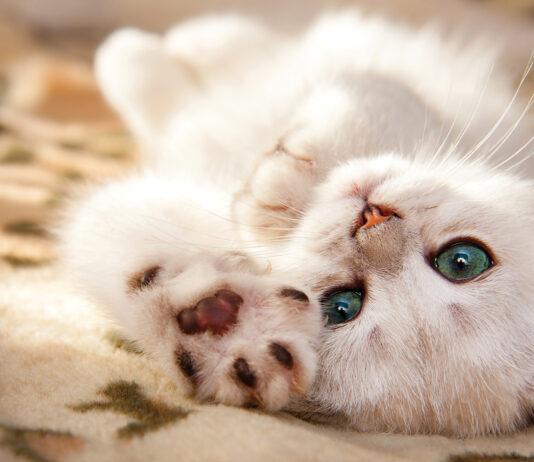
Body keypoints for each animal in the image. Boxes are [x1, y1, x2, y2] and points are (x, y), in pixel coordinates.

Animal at [60, 11, 532, 436]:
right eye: (464, 259)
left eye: (341, 307)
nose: (372, 219)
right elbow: (383, 94)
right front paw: (281, 185)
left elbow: (106, 228)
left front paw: (231, 335)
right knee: (224, 44)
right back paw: (159, 43)